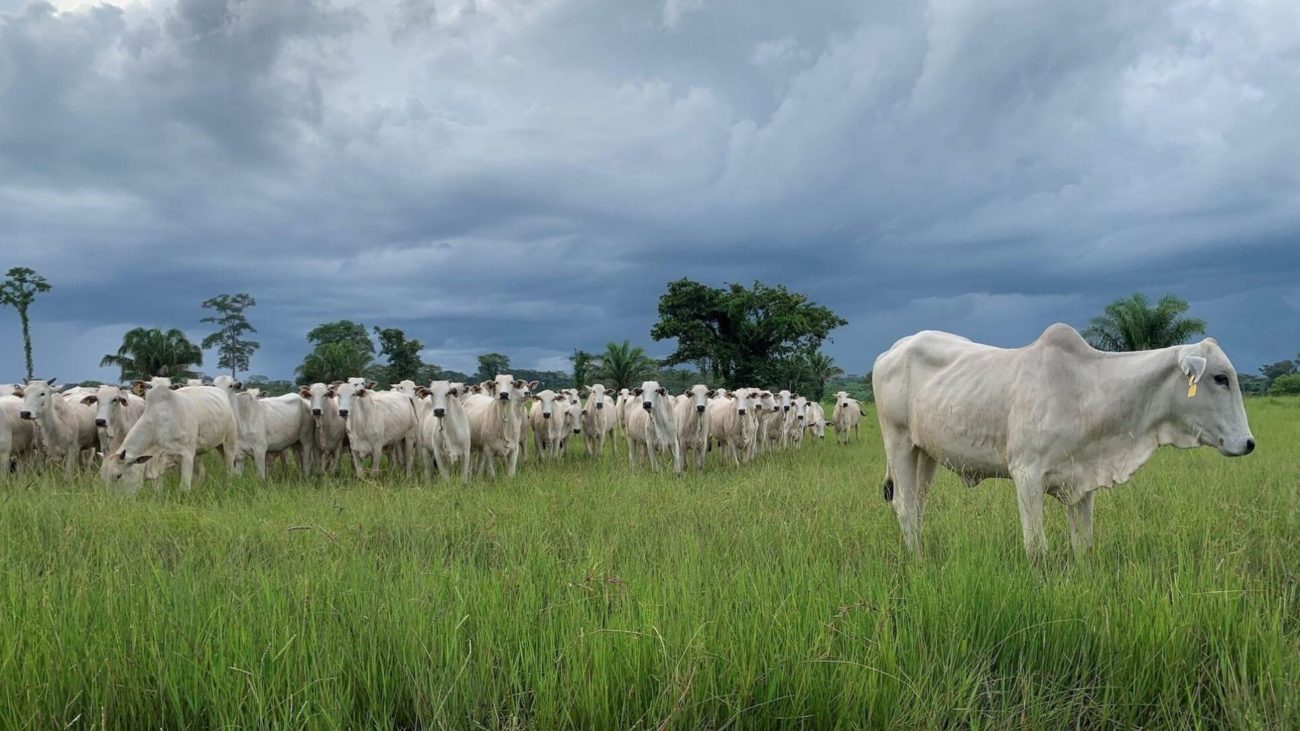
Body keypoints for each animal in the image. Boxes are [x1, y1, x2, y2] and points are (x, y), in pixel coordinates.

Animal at [101, 382, 239, 489]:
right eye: (103, 477)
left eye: (118, 476)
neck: (159, 426)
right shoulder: (158, 460)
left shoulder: (187, 455)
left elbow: (184, 489)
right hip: (201, 452)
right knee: (201, 473)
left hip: (228, 442)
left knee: (229, 469)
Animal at [873, 321, 1258, 554]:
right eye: (1220, 378)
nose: (1249, 443)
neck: (1086, 390)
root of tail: (895, 348)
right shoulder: (1026, 475)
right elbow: (1036, 547)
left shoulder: (1084, 481)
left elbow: (1083, 544)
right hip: (899, 442)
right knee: (905, 507)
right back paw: (918, 562)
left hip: (926, 453)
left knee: (917, 507)